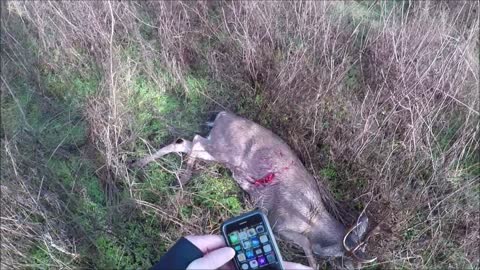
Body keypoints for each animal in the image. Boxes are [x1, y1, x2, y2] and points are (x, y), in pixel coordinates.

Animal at [131, 111, 376, 268]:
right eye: (349, 261)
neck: (312, 218)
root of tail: (222, 115)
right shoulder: (278, 221)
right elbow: (305, 245)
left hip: (219, 151)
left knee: (184, 143)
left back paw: (141, 164)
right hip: (225, 150)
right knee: (196, 141)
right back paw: (183, 176)